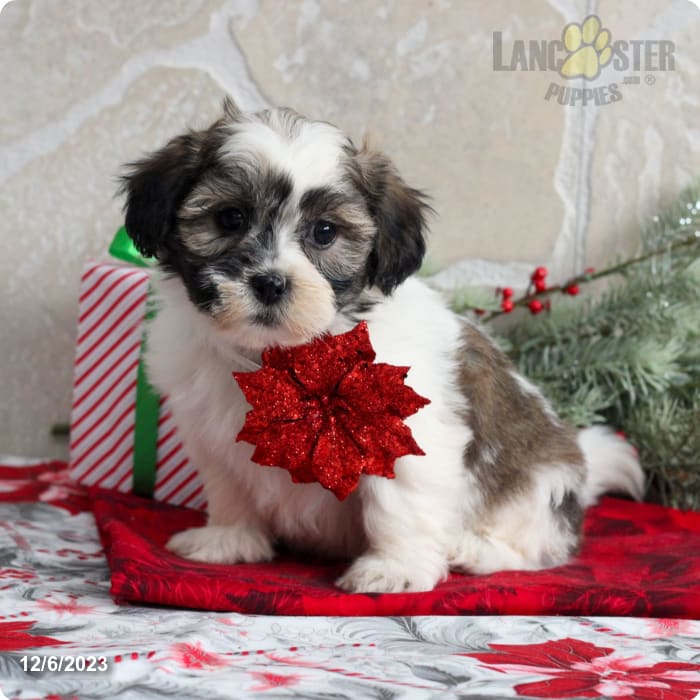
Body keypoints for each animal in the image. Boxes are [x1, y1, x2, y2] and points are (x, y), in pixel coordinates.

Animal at [117, 97, 644, 592]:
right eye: (230, 217)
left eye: (324, 232)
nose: (270, 282)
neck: (282, 356)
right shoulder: (214, 433)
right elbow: (230, 488)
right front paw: (229, 539)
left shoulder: (404, 430)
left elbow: (400, 503)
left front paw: (396, 570)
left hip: (538, 485)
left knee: (542, 547)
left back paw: (476, 551)